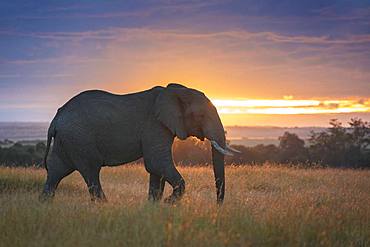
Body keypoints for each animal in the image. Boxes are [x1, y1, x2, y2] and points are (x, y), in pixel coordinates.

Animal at [39, 84, 238, 204]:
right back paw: (105, 207)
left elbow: (156, 169)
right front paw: (168, 203)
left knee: (56, 171)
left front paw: (154, 207)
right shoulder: (155, 125)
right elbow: (156, 162)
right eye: (201, 116)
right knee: (91, 172)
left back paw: (44, 205)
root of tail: (56, 118)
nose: (217, 206)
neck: (176, 91)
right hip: (79, 139)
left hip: (67, 140)